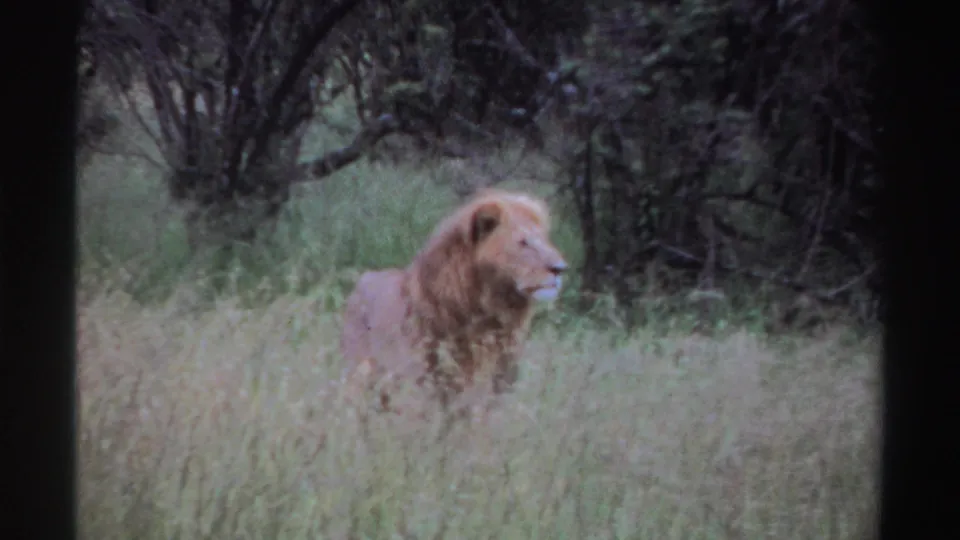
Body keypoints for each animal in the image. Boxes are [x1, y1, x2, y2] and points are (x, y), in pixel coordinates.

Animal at [339, 188, 568, 417]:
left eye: (545, 239)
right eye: (523, 243)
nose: (560, 268)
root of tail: (362, 280)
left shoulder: (495, 388)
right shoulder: (418, 389)